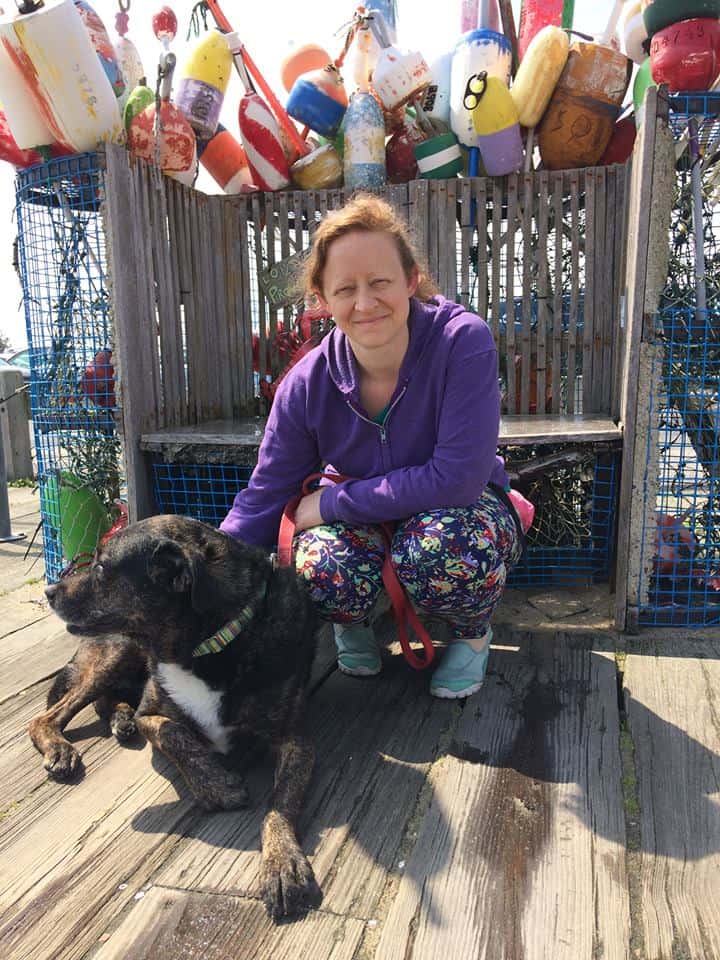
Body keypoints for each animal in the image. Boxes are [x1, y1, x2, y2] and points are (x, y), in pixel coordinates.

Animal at [28, 512, 320, 920]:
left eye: (101, 567)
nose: (49, 591)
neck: (204, 646)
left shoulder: (297, 741)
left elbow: (281, 801)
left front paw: (281, 861)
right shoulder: (152, 712)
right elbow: (174, 733)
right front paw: (218, 784)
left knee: (100, 703)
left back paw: (119, 720)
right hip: (117, 652)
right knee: (47, 716)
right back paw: (63, 746)